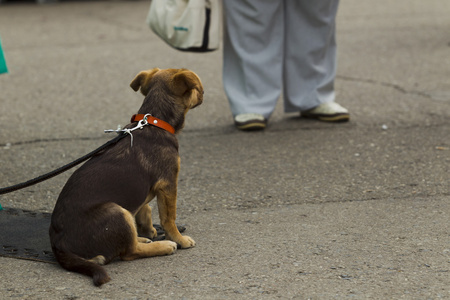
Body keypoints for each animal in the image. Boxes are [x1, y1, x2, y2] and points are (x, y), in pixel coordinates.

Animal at [49, 67, 204, 286]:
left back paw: (141, 238)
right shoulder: (168, 184)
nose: (203, 94)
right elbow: (169, 218)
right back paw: (163, 246)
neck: (155, 123)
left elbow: (144, 208)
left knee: (129, 240)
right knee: (130, 252)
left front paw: (147, 229)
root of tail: (58, 245)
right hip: (116, 211)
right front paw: (179, 240)